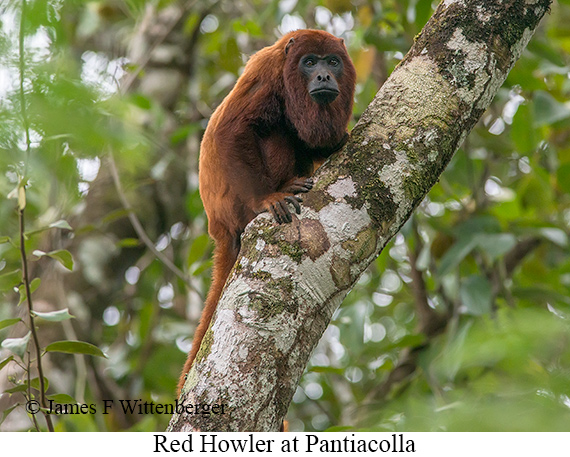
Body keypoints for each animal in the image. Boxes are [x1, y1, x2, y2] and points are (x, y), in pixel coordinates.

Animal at [178, 29, 356, 392]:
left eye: (332, 62)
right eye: (309, 62)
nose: (324, 76)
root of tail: (219, 227)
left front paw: (336, 141)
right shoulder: (268, 74)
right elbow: (232, 130)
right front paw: (267, 199)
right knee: (275, 129)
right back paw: (284, 186)